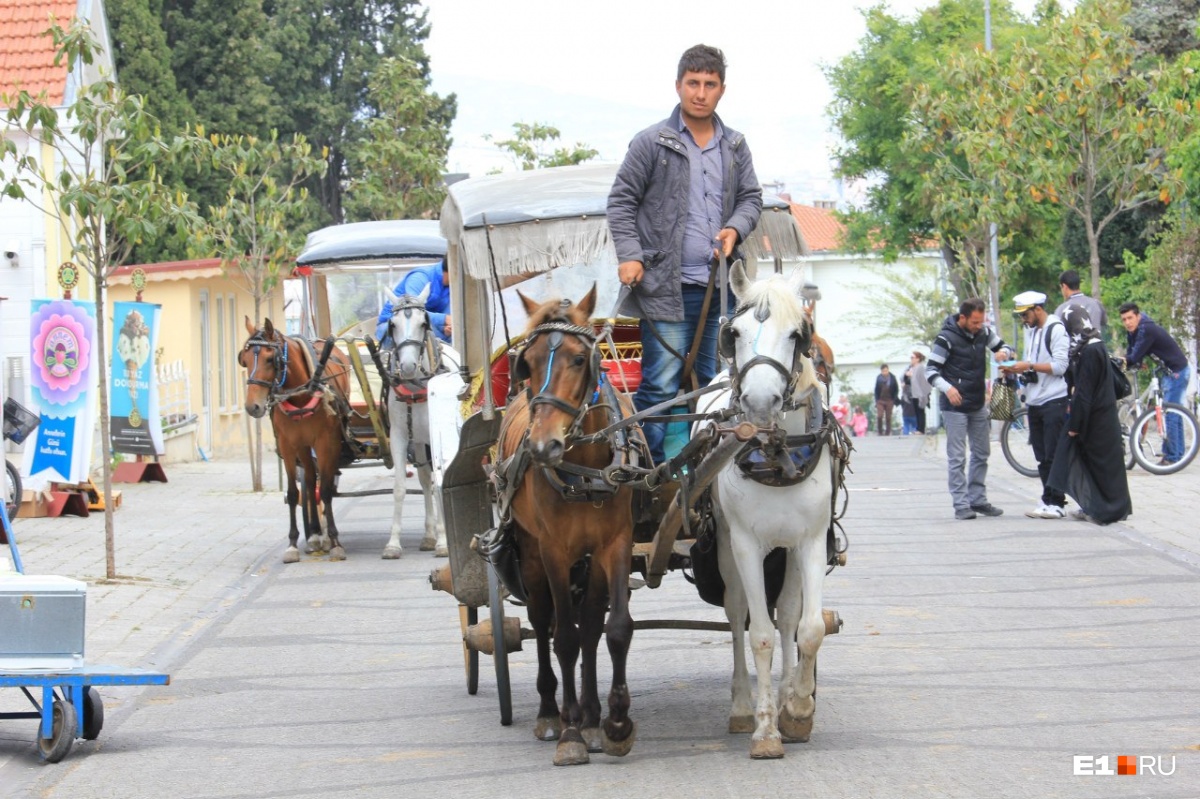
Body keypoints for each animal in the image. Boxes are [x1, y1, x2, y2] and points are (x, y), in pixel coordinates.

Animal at [238, 316, 350, 559]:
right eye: (244, 359)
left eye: (270, 359)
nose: (253, 406)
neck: (301, 396)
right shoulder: (288, 445)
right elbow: (292, 493)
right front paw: (292, 543)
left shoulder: (327, 443)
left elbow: (326, 490)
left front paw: (335, 541)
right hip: (304, 447)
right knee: (309, 480)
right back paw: (315, 535)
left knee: (322, 484)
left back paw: (324, 535)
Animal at [384, 287, 458, 559]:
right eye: (392, 324)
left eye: (423, 323)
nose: (406, 366)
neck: (415, 387)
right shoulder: (399, 437)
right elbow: (399, 488)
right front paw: (393, 543)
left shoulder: (435, 436)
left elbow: (440, 482)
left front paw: (444, 542)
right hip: (417, 441)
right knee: (425, 480)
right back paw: (428, 535)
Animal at [496, 286, 643, 767]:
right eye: (528, 362)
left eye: (580, 359)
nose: (544, 446)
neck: (586, 467)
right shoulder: (554, 550)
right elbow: (563, 638)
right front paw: (572, 734)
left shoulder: (614, 544)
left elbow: (613, 629)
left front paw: (613, 724)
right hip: (529, 551)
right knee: (544, 622)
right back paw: (553, 713)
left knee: (589, 624)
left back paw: (590, 715)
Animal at [700, 262, 840, 758]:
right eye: (734, 333)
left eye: (797, 334)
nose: (760, 403)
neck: (777, 454)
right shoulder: (745, 544)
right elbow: (758, 632)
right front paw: (764, 729)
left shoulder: (811, 541)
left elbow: (808, 627)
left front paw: (796, 708)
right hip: (726, 548)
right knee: (736, 613)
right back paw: (744, 704)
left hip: (789, 551)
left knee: (788, 616)